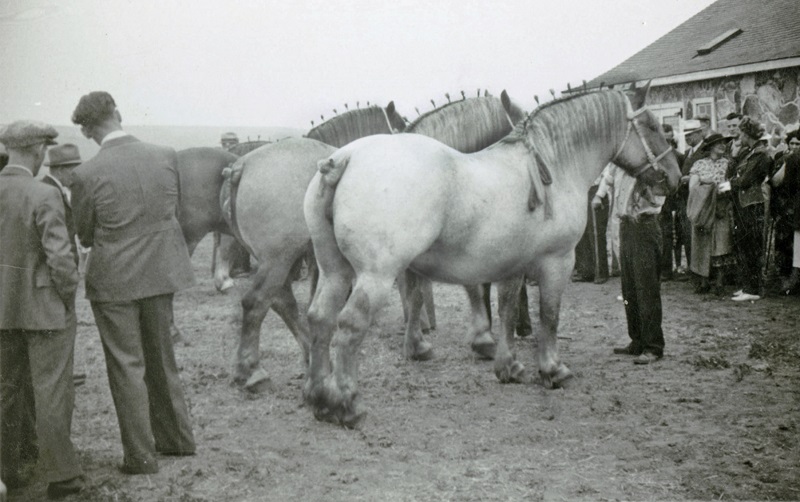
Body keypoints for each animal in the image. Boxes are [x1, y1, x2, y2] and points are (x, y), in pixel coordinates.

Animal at [302, 83, 681, 427]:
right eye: (650, 125)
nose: (674, 177)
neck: (553, 166)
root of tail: (344, 159)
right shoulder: (557, 261)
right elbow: (549, 316)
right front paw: (552, 369)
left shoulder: (511, 263)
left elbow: (507, 311)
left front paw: (507, 365)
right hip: (375, 276)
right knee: (349, 327)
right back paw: (347, 405)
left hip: (335, 273)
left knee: (319, 318)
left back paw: (320, 398)